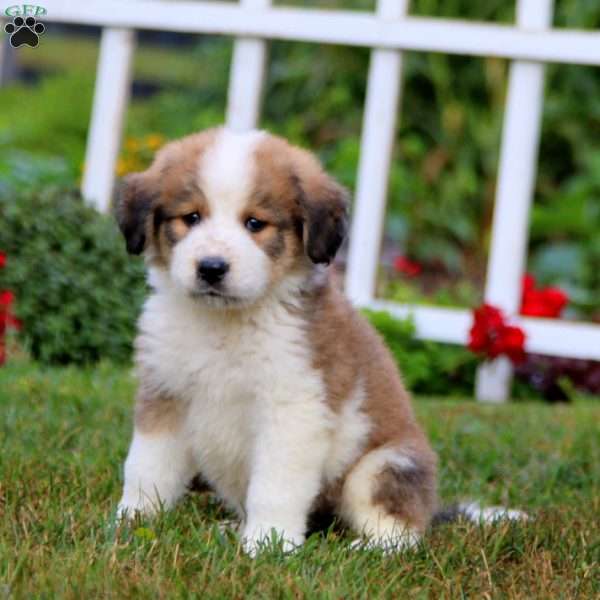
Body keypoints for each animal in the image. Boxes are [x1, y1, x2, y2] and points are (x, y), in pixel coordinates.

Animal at [115, 125, 524, 552]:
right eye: (191, 217)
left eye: (255, 223)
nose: (211, 268)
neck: (225, 324)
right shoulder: (165, 394)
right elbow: (147, 467)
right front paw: (131, 522)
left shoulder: (293, 407)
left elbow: (274, 486)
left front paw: (268, 544)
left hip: (382, 464)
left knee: (404, 530)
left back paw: (371, 549)